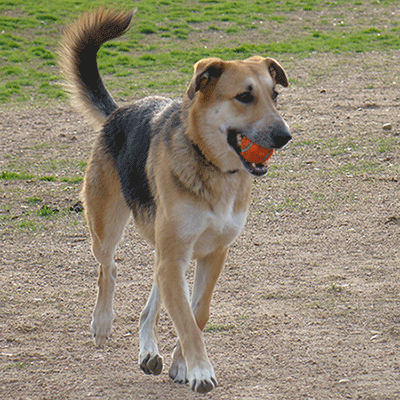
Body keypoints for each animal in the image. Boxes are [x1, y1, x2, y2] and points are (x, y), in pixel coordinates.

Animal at [58, 8, 290, 394]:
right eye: (244, 96)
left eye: (274, 96)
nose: (285, 135)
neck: (212, 166)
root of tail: (119, 112)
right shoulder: (175, 258)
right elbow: (184, 317)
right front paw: (200, 370)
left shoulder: (211, 254)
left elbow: (197, 313)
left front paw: (181, 364)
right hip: (107, 226)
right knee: (109, 267)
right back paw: (102, 323)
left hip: (164, 250)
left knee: (148, 304)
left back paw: (149, 352)